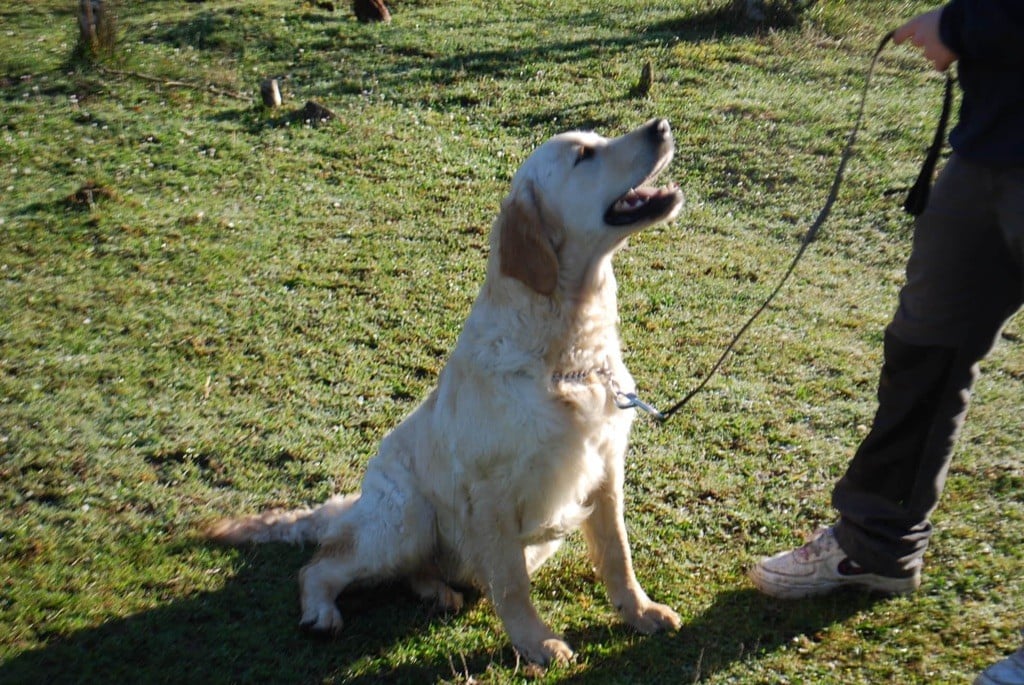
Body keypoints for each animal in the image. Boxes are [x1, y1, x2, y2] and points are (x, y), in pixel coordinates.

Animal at [207, 117, 684, 663]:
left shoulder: (605, 469)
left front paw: (641, 611)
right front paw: (537, 642)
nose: (660, 125)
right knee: (320, 566)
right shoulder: (491, 491)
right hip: (407, 518)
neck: (569, 349)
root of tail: (355, 502)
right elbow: (512, 583)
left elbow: (617, 555)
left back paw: (436, 591)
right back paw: (322, 612)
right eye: (584, 154)